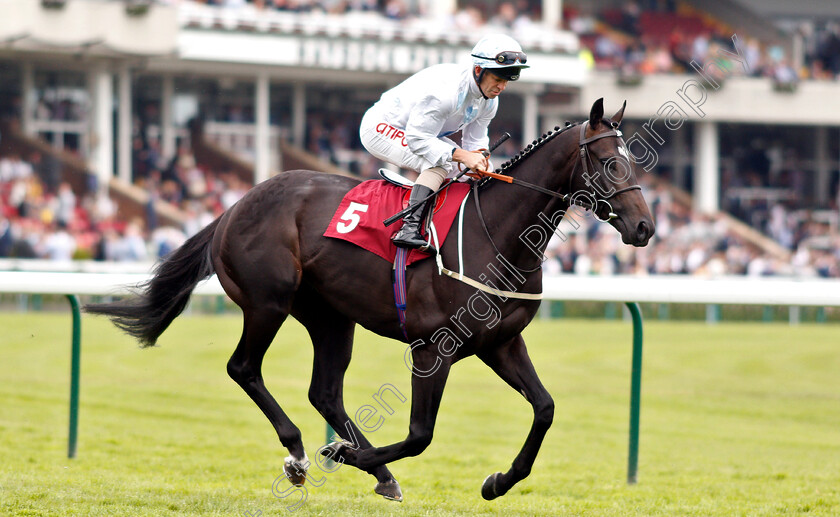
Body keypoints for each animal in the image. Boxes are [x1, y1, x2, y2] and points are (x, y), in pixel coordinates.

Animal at [85, 99, 656, 502]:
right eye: (609, 162)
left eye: (633, 161)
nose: (645, 228)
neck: (497, 232)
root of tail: (234, 206)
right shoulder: (433, 348)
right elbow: (421, 434)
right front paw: (340, 454)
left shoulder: (501, 342)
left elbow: (545, 408)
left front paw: (498, 481)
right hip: (268, 302)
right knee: (244, 368)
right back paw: (301, 453)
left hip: (330, 317)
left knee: (324, 391)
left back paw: (374, 470)